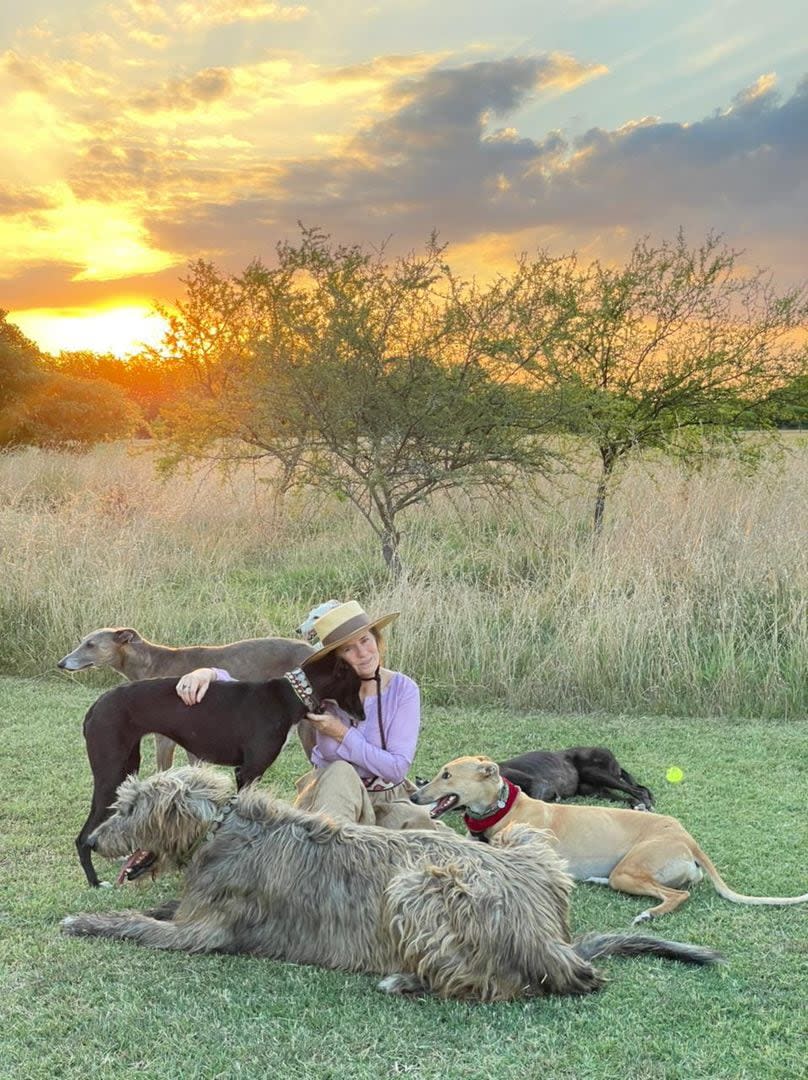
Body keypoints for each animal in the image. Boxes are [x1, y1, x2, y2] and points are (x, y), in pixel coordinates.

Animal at [61, 768, 721, 1002]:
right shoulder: (195, 905)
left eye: (129, 808)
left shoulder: (204, 932)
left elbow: (139, 923)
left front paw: (84, 920)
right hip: (529, 847)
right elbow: (163, 905)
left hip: (423, 885)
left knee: (506, 986)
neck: (220, 827)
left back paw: (406, 979)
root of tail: (550, 937)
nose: (91, 842)